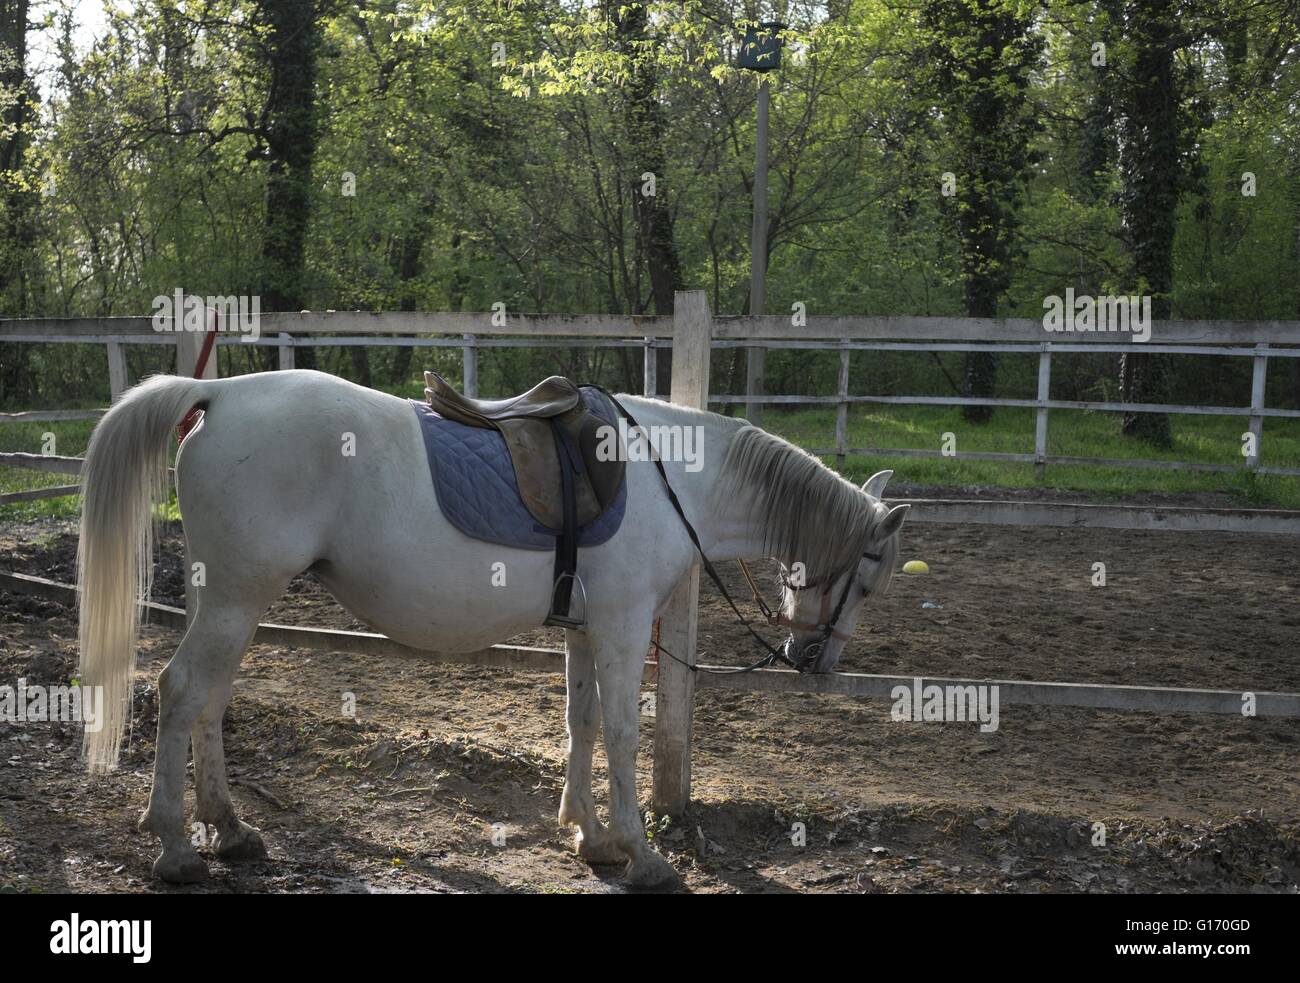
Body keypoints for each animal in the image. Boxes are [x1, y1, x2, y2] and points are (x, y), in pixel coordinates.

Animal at [76, 368, 909, 888]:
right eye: (871, 575)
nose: (815, 660)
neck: (674, 475)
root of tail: (218, 391)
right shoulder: (622, 625)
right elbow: (623, 732)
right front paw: (642, 855)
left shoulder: (584, 627)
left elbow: (581, 723)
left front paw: (590, 836)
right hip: (236, 599)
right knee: (183, 690)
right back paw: (177, 845)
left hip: (227, 600)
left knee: (210, 700)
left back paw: (230, 829)